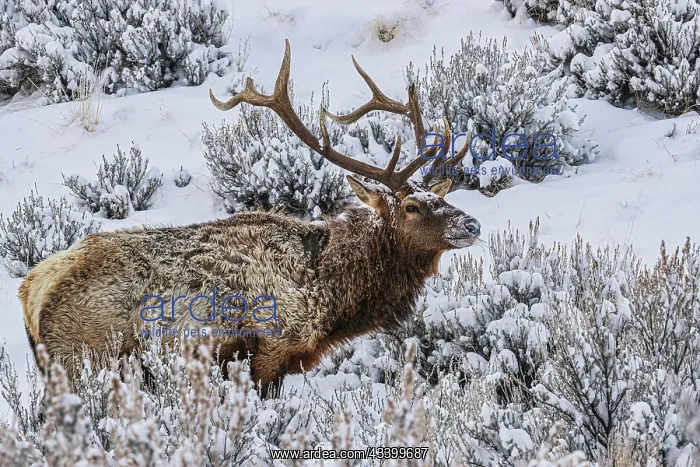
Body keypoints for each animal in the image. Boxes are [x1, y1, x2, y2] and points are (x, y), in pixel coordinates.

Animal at [18, 39, 479, 398]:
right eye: (411, 207)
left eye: (438, 197)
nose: (471, 224)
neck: (328, 295)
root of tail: (31, 293)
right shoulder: (268, 350)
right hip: (84, 361)